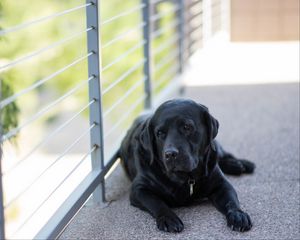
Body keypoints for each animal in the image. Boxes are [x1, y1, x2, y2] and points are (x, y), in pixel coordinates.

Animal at [118, 98, 254, 232]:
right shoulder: (139, 189)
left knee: (223, 155)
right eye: (160, 133)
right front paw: (168, 218)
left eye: (187, 127)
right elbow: (156, 202)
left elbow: (231, 201)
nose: (170, 154)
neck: (185, 178)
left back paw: (242, 164)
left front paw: (238, 215)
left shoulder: (221, 184)